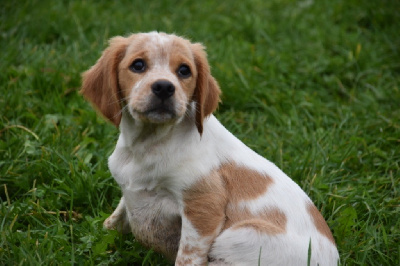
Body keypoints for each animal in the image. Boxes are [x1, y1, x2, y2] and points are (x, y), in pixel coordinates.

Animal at [82, 32, 340, 264]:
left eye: (184, 70)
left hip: (238, 235)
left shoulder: (203, 208)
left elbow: (187, 257)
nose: (164, 87)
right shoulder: (130, 190)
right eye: (138, 65)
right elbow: (116, 217)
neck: (148, 143)